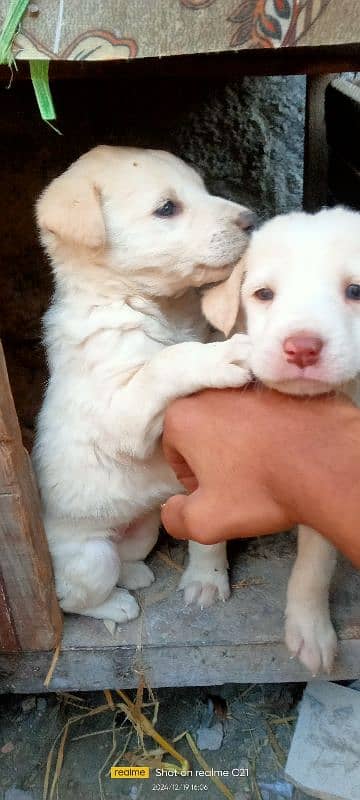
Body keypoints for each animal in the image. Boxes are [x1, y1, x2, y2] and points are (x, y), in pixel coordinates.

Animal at [33, 147, 253, 628]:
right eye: (167, 208)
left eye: (203, 188)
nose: (251, 219)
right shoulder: (119, 409)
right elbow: (167, 362)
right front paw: (224, 357)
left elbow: (207, 536)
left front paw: (207, 580)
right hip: (90, 556)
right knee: (74, 596)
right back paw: (116, 603)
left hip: (147, 527)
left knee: (129, 556)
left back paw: (136, 575)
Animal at [201, 208, 360, 676]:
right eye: (263, 294)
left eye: (355, 290)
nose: (302, 348)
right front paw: (204, 579)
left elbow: (315, 564)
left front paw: (310, 630)